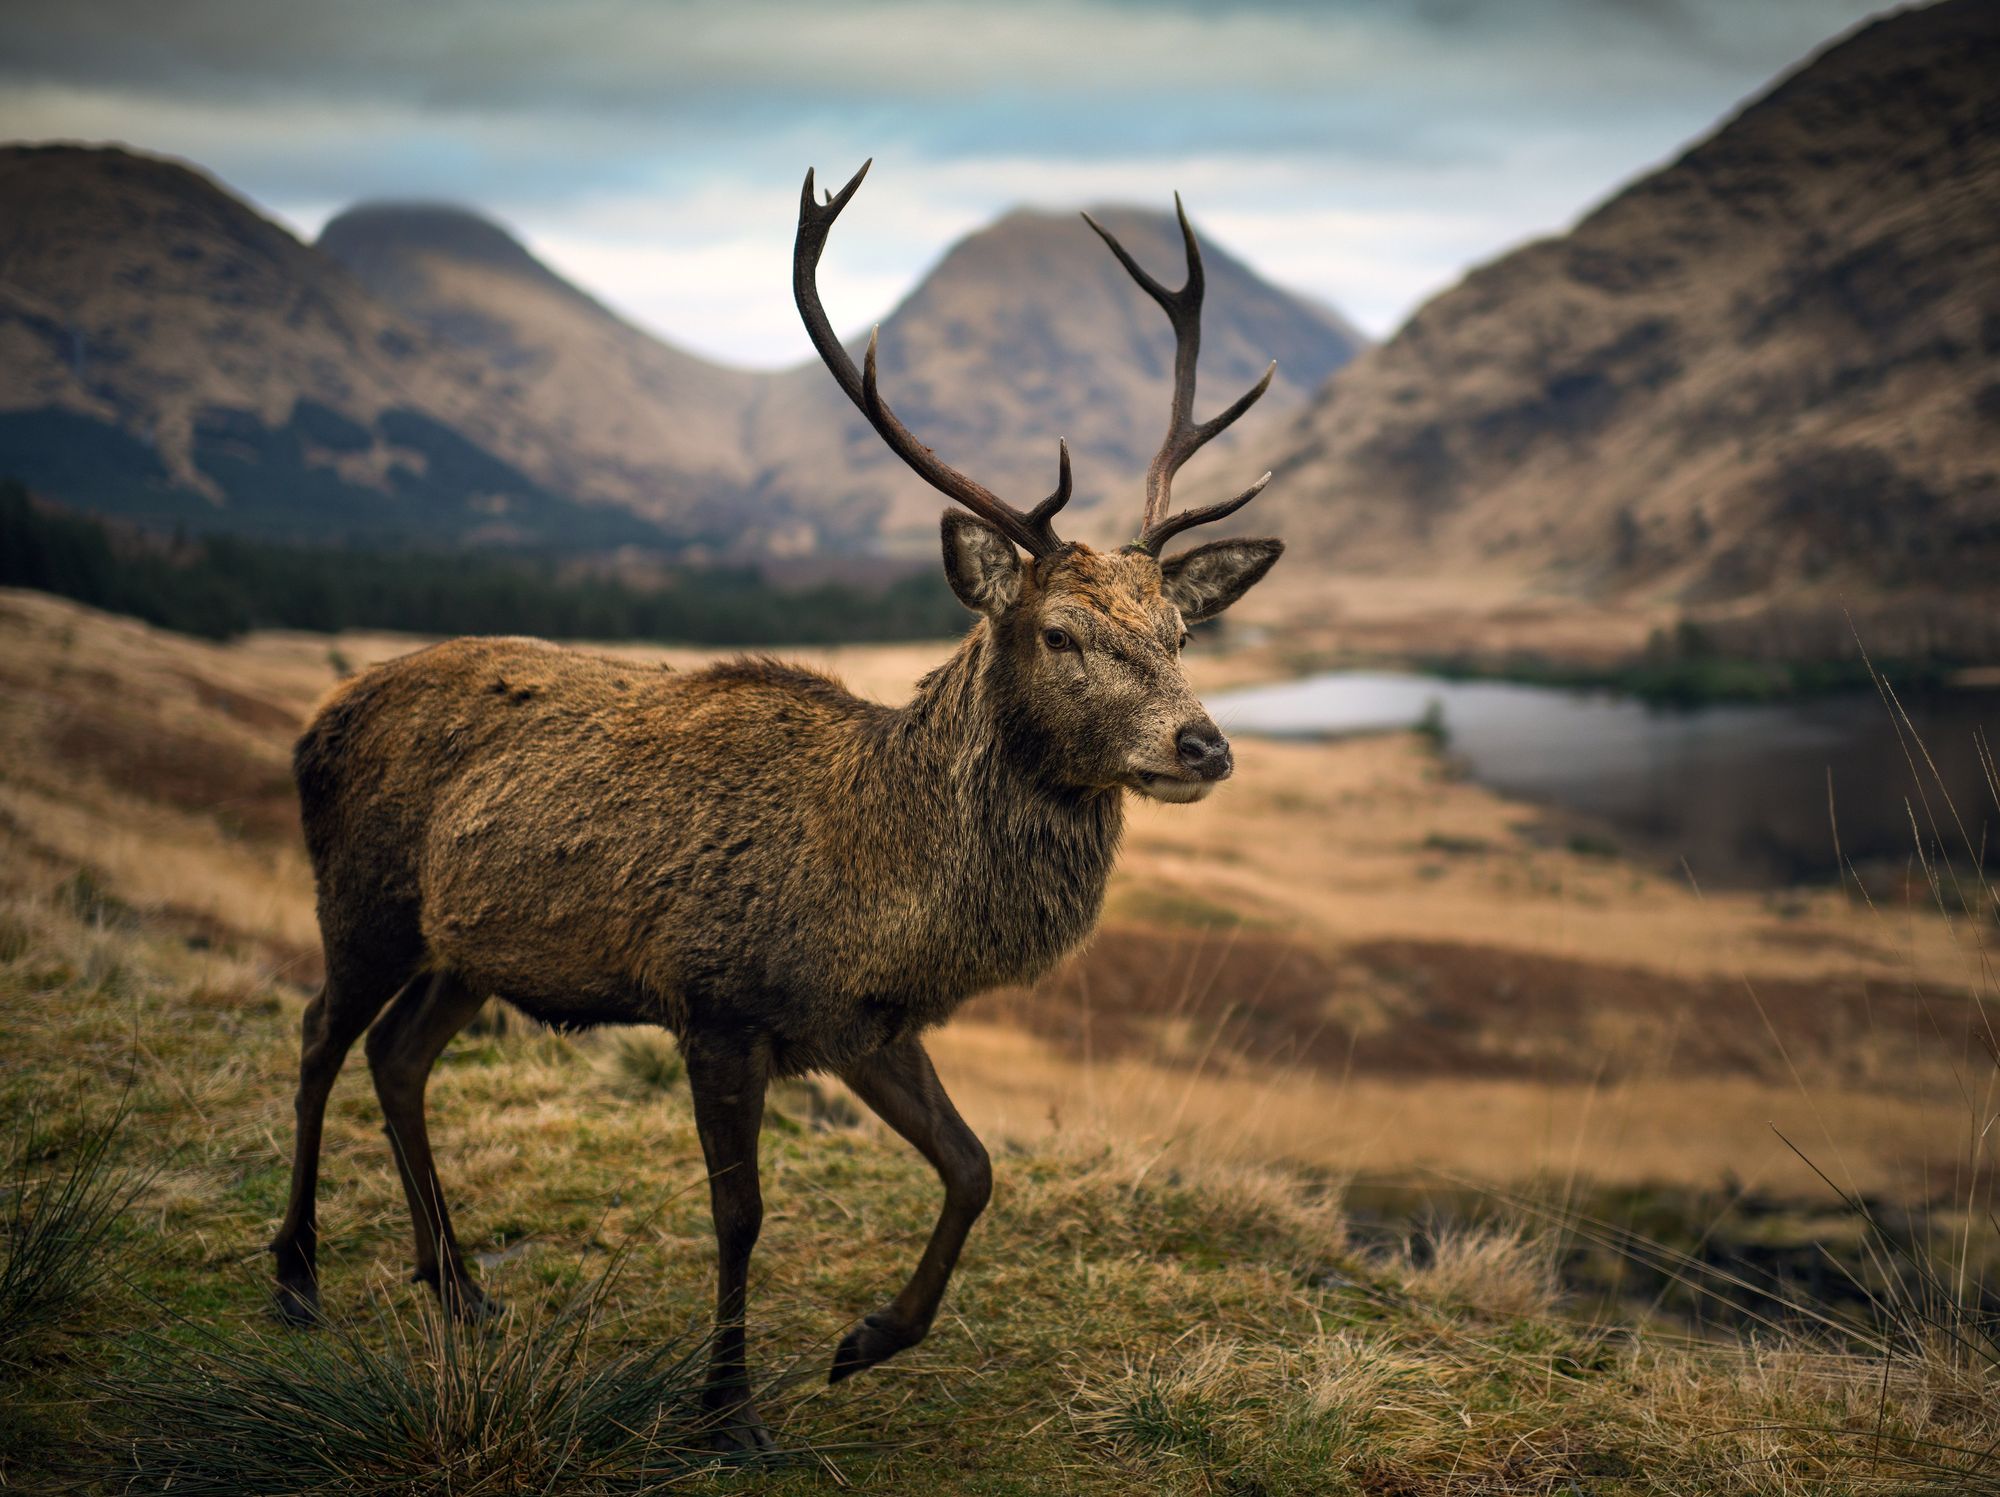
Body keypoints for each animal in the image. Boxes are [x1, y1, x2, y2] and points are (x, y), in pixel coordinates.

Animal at [268, 160, 1285, 1453]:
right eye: (1059, 633)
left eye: (1177, 632)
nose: (1201, 744)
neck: (875, 891)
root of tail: (316, 720)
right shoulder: (715, 1002)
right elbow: (740, 1213)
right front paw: (726, 1408)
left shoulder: (861, 1023)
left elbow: (973, 1167)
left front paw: (866, 1340)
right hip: (362, 897)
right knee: (318, 1035)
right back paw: (296, 1276)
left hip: (468, 950)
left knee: (398, 1058)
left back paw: (458, 1288)